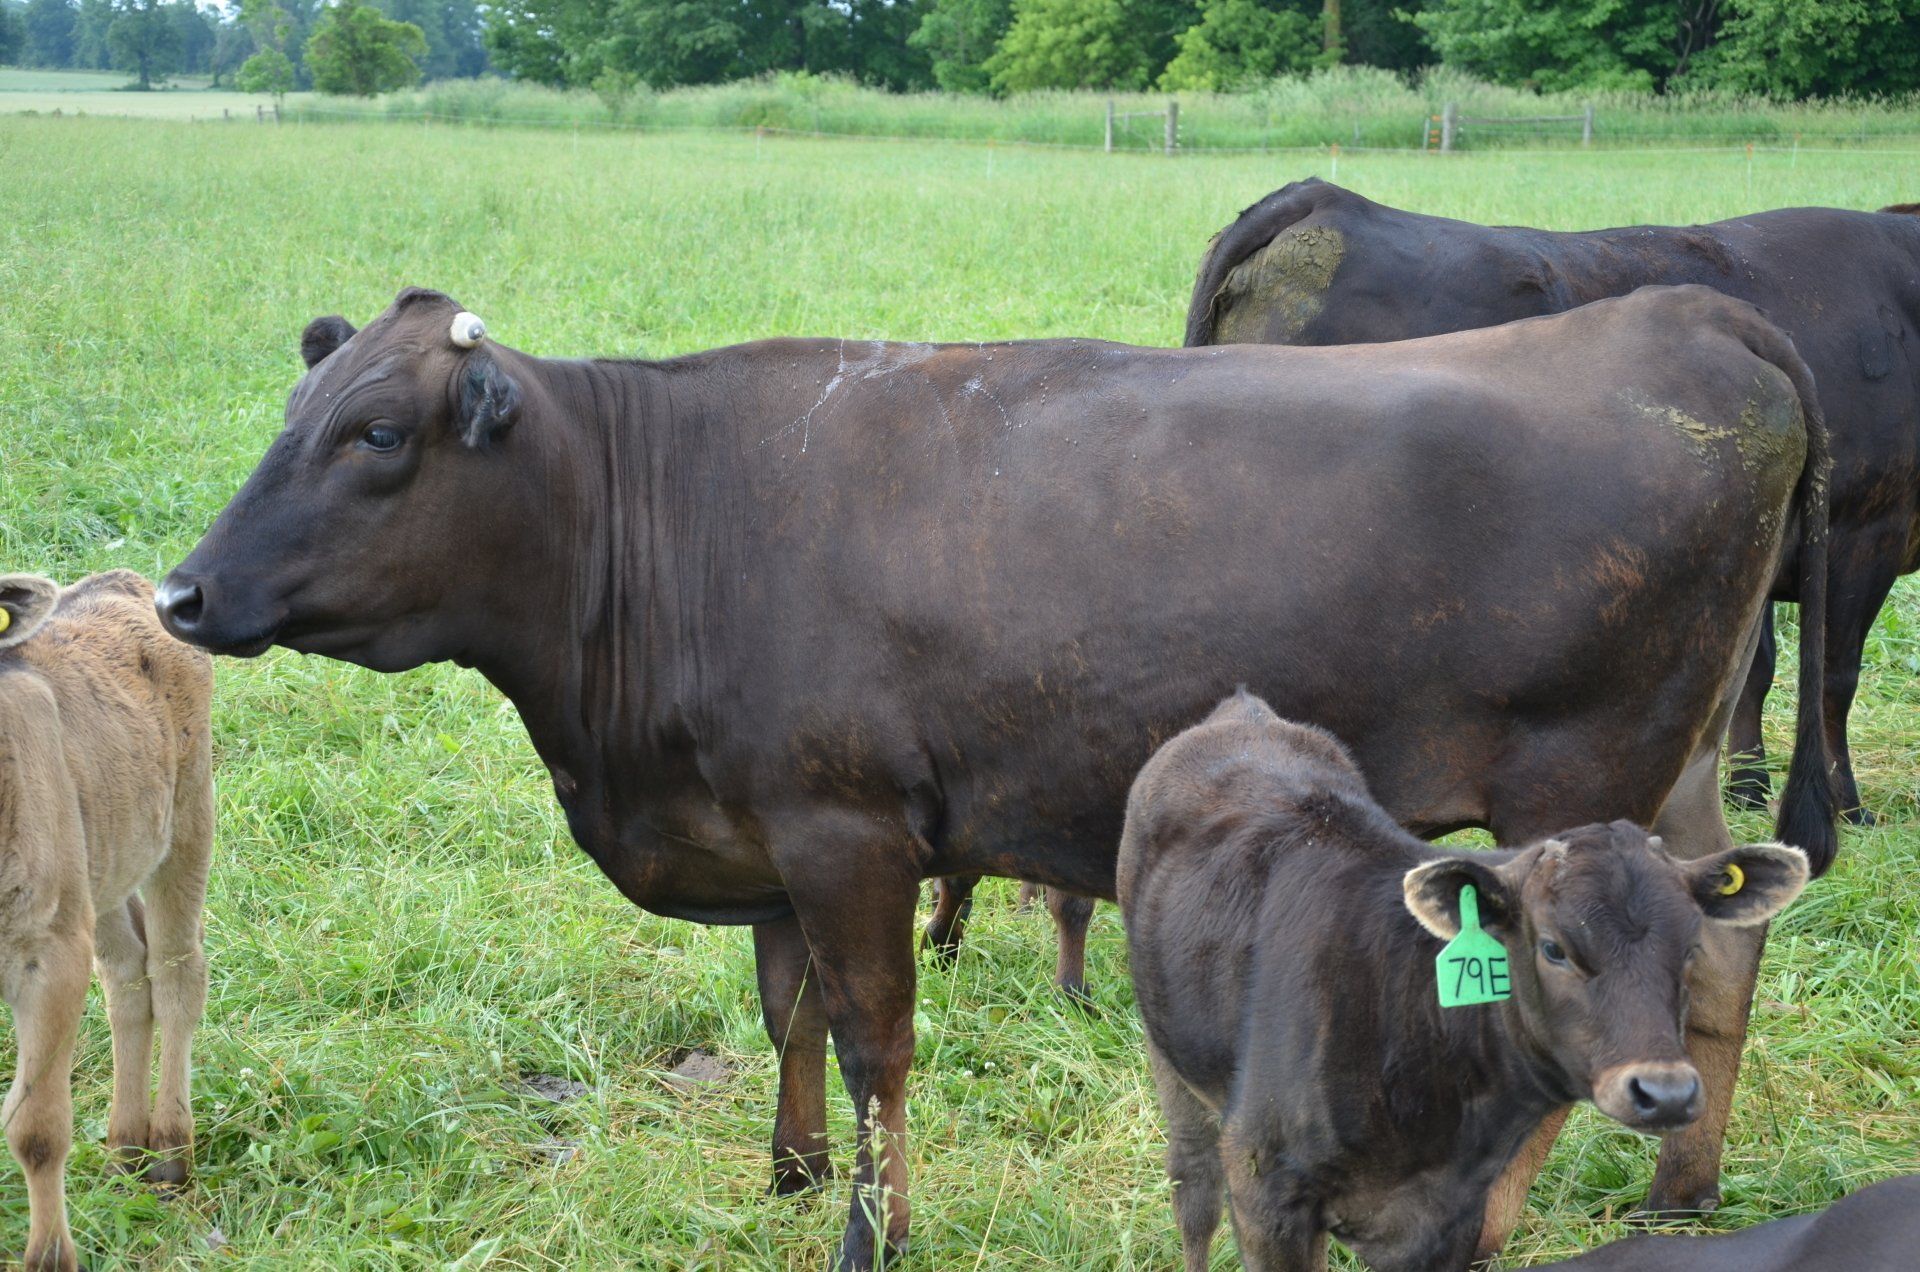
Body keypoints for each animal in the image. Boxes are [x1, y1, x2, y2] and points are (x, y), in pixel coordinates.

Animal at [1, 571, 215, 1272]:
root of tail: (121, 582)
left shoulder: (49, 952)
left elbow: (36, 1127)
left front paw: (48, 1258)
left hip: (186, 822)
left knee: (177, 970)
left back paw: (169, 1151)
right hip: (103, 869)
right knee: (127, 975)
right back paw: (126, 1146)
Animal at [1117, 690, 1809, 1272]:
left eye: (1690, 948)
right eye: (1552, 948)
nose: (1664, 1093)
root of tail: (1245, 711)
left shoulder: (1451, 1221)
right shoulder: (1266, 1194)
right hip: (1171, 1058)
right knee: (1193, 1187)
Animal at [1185, 178, 1920, 828]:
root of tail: (1325, 198)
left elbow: (1754, 674)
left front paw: (1745, 789)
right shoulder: (1863, 533)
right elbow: (1833, 679)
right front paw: (1848, 806)